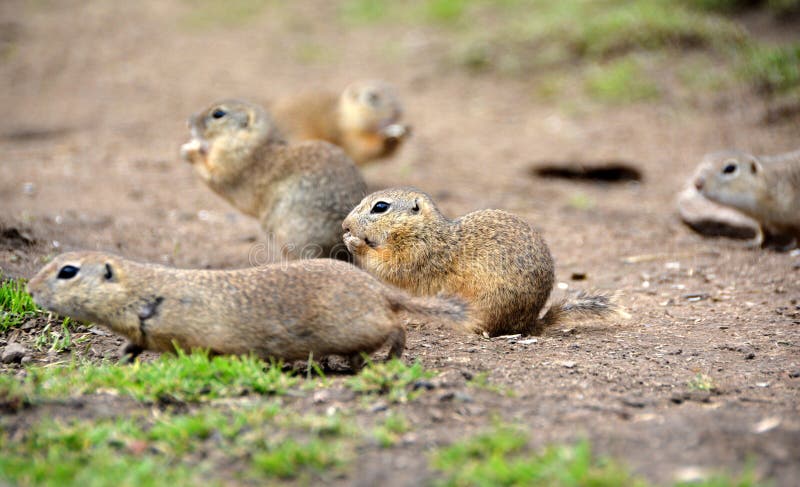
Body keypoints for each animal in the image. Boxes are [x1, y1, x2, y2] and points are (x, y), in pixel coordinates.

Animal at [28, 254, 472, 368]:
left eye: (68, 271)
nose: (29, 289)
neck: (144, 291)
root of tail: (377, 288)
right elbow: (134, 345)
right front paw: (122, 356)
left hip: (359, 325)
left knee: (398, 329)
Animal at [181, 97, 366, 262]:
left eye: (218, 113)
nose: (188, 122)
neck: (257, 143)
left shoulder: (231, 160)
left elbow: (214, 175)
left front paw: (189, 152)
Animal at [274, 81, 412, 167]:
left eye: (394, 91)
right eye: (373, 97)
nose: (399, 111)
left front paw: (403, 132)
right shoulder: (350, 136)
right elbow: (366, 148)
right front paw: (387, 136)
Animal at [340, 188, 616, 340]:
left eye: (380, 207)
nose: (344, 225)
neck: (424, 229)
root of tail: (531, 323)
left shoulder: (419, 253)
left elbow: (391, 269)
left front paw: (355, 244)